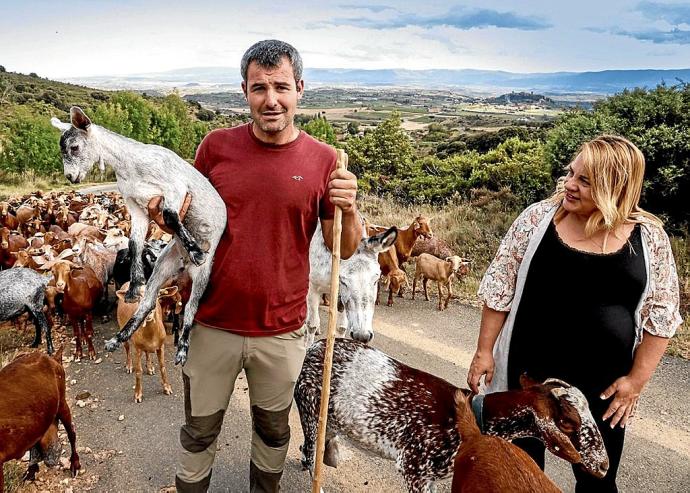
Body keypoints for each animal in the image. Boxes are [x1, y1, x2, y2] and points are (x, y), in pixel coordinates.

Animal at [52, 107, 228, 366]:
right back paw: (118, 337)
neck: (131, 164)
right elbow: (135, 242)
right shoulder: (136, 205)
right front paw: (134, 285)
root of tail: (183, 264)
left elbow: (171, 216)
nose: (71, 177)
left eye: (74, 147)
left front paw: (196, 249)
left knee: (190, 309)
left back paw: (183, 349)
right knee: (147, 304)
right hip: (162, 266)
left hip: (203, 275)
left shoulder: (175, 188)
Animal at [292, 338, 604, 492]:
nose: (603, 466)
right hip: (310, 408)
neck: (474, 418)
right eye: (569, 421)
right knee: (310, 451)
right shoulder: (414, 469)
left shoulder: (429, 476)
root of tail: (314, 347)